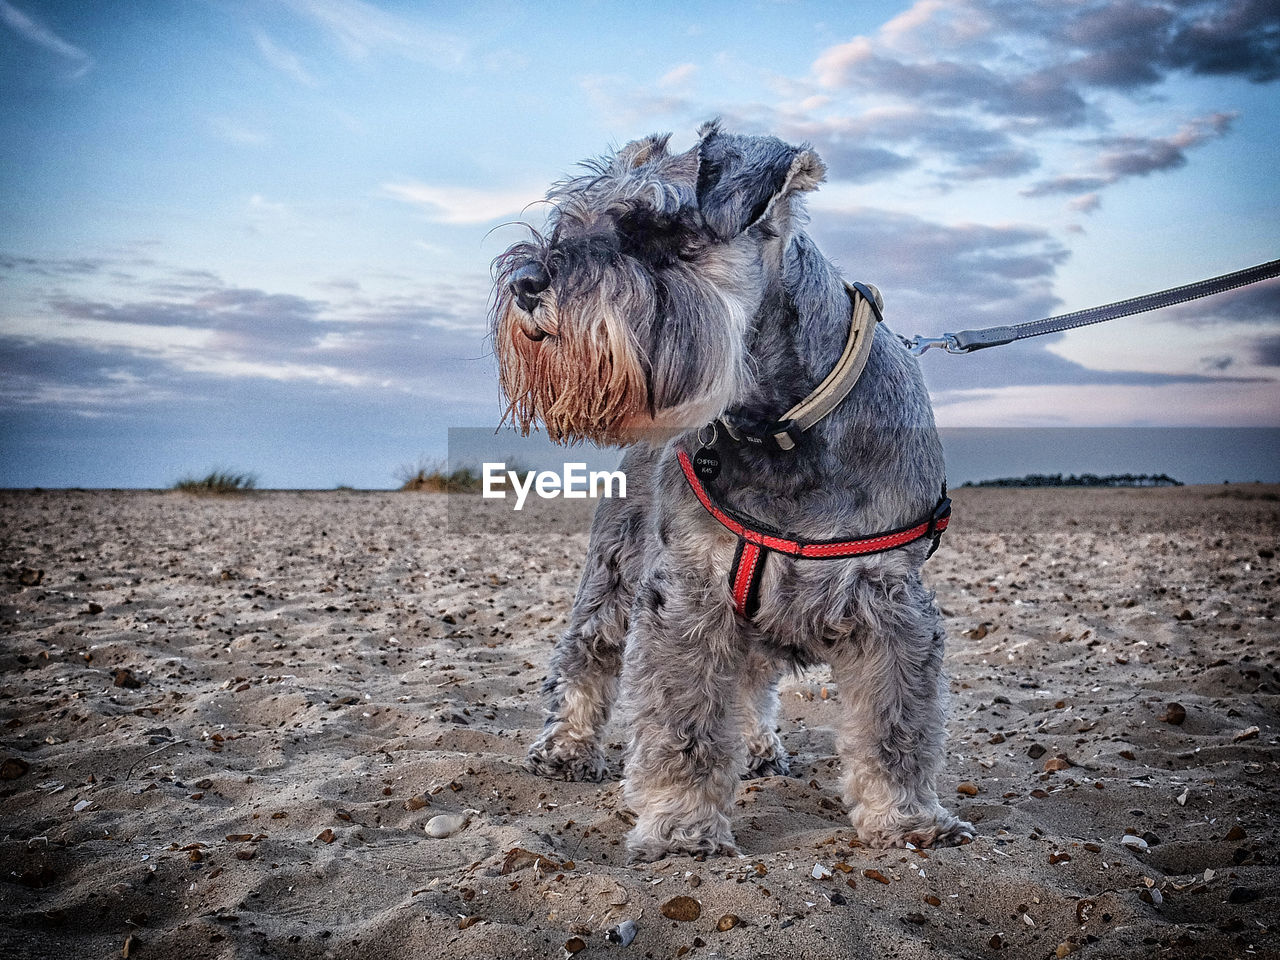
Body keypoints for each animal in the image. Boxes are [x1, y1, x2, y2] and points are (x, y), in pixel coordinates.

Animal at [486, 122, 967, 865]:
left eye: (658, 226)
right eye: (570, 220)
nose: (526, 282)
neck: (779, 427)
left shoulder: (891, 604)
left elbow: (896, 726)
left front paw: (906, 816)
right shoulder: (687, 596)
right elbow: (684, 723)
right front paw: (682, 825)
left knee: (748, 683)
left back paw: (760, 745)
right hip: (612, 575)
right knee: (586, 656)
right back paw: (564, 748)